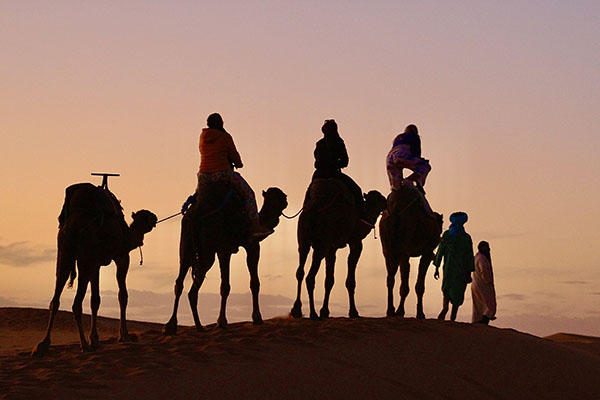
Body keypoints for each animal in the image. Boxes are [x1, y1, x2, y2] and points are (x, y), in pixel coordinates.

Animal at [32, 183, 157, 354]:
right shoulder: (121, 257)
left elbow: (95, 299)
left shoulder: (96, 264)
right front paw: (123, 335)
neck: (127, 236)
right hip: (85, 255)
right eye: (146, 217)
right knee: (76, 303)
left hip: (64, 252)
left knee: (56, 294)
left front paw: (95, 339)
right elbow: (122, 295)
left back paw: (43, 344)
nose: (155, 217)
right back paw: (83, 344)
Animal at [163, 183, 288, 332]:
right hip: (207, 251)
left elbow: (224, 286)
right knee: (192, 287)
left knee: (181, 282)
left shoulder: (224, 250)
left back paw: (176, 325)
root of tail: (195, 214)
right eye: (278, 196)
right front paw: (256, 318)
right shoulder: (250, 246)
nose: (286, 200)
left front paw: (221, 322)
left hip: (186, 247)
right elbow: (253, 283)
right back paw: (195, 326)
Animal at [292, 180, 390, 320]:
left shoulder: (332, 248)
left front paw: (325, 311)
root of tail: (314, 209)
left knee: (300, 271)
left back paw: (297, 310)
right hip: (321, 245)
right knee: (310, 277)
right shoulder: (355, 242)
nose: (387, 201)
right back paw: (313, 313)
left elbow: (329, 280)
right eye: (380, 198)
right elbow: (350, 281)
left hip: (303, 240)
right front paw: (353, 312)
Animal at [378, 184, 442, 318]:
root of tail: (395, 210)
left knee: (390, 278)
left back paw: (390, 310)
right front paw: (420, 313)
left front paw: (399, 311)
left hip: (387, 247)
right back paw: (396, 311)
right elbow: (419, 286)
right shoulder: (426, 252)